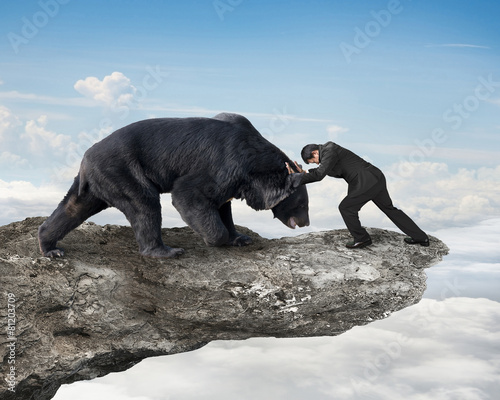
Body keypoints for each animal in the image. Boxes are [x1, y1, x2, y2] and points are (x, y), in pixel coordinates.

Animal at [39, 111, 310, 260]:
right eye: (302, 205)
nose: (306, 222)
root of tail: (85, 161)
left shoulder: (233, 182)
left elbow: (223, 206)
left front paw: (240, 238)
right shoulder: (223, 166)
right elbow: (189, 194)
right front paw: (215, 238)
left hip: (96, 184)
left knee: (73, 208)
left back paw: (50, 247)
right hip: (123, 171)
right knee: (144, 205)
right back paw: (165, 251)